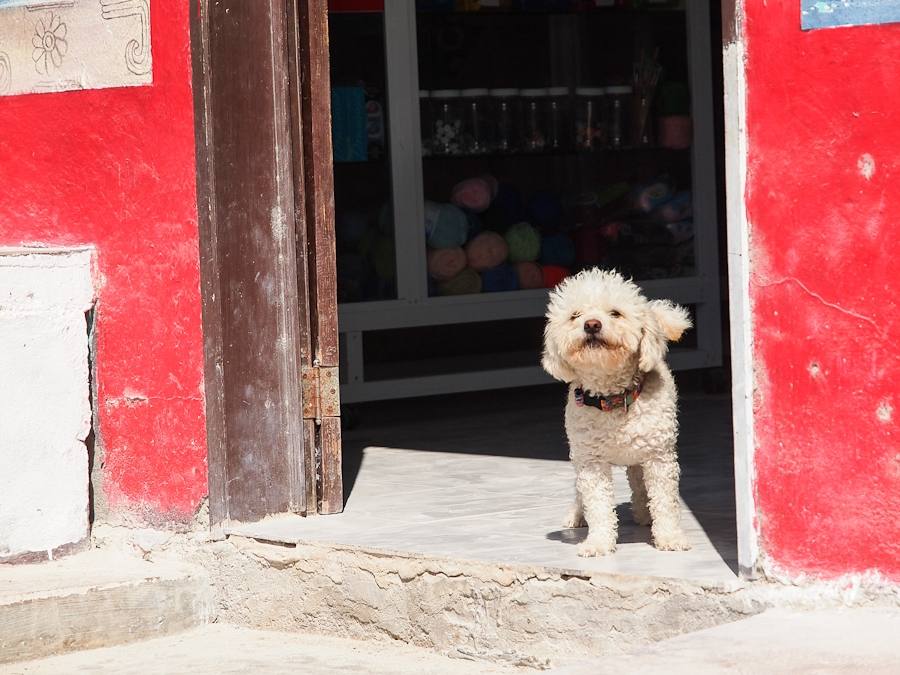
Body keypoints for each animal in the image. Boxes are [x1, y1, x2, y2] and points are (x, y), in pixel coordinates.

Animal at [540, 270, 696, 560]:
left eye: (615, 313)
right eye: (575, 315)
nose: (591, 324)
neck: (612, 398)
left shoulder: (659, 458)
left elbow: (665, 503)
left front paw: (669, 537)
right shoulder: (591, 463)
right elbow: (598, 506)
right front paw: (599, 542)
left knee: (638, 483)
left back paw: (644, 513)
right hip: (579, 457)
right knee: (580, 490)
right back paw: (577, 514)